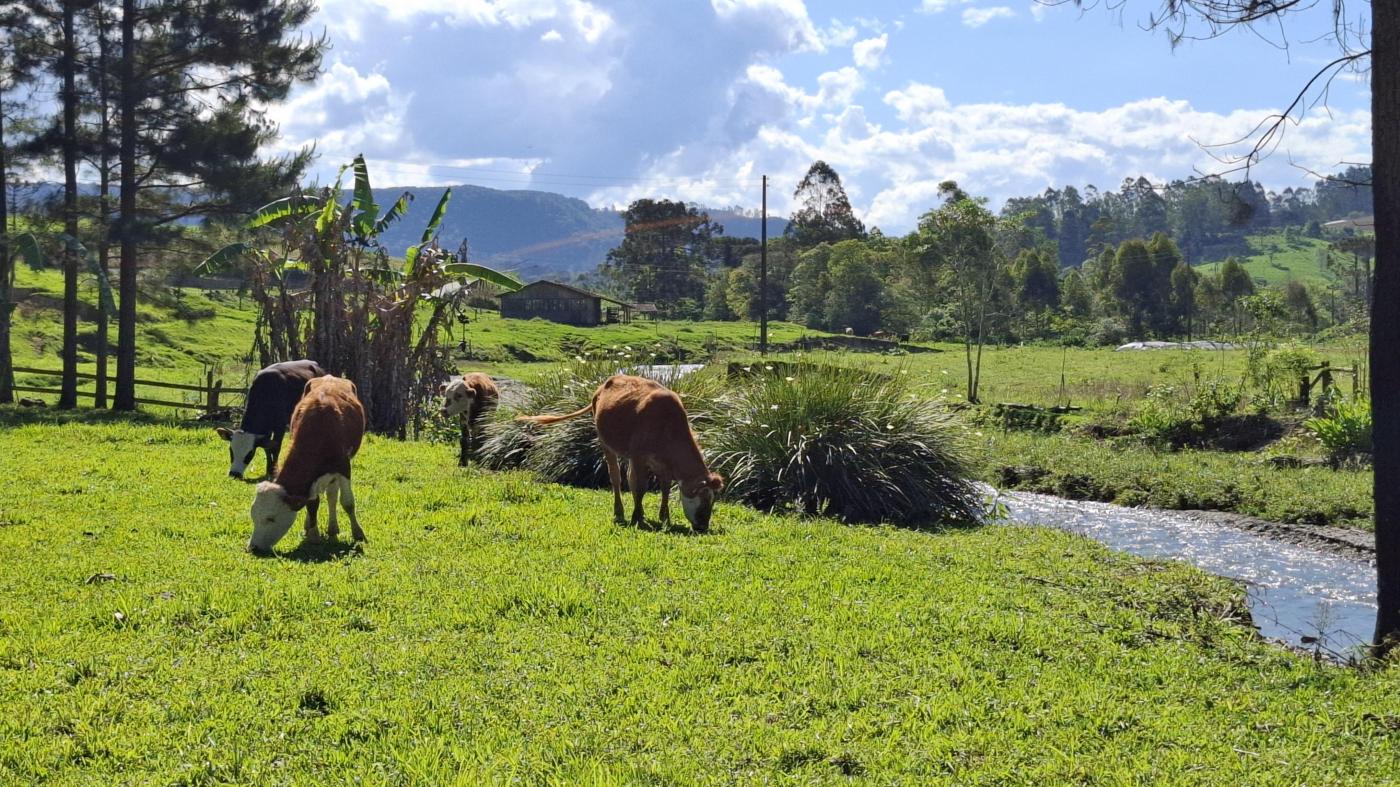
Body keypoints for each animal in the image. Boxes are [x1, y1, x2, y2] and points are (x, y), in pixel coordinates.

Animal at [249, 372, 366, 551]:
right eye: (253, 515)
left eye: (271, 518)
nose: (252, 547)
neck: (320, 428)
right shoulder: (313, 476)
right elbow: (312, 502)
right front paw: (313, 534)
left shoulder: (344, 466)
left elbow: (347, 503)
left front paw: (358, 533)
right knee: (328, 495)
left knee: (333, 496)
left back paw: (333, 528)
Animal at [520, 372, 728, 529]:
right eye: (704, 501)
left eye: (713, 502)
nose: (703, 526)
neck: (667, 426)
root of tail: (602, 386)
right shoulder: (638, 456)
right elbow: (640, 486)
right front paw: (637, 516)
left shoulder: (661, 463)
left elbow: (665, 488)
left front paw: (664, 517)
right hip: (605, 443)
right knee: (616, 477)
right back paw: (620, 512)